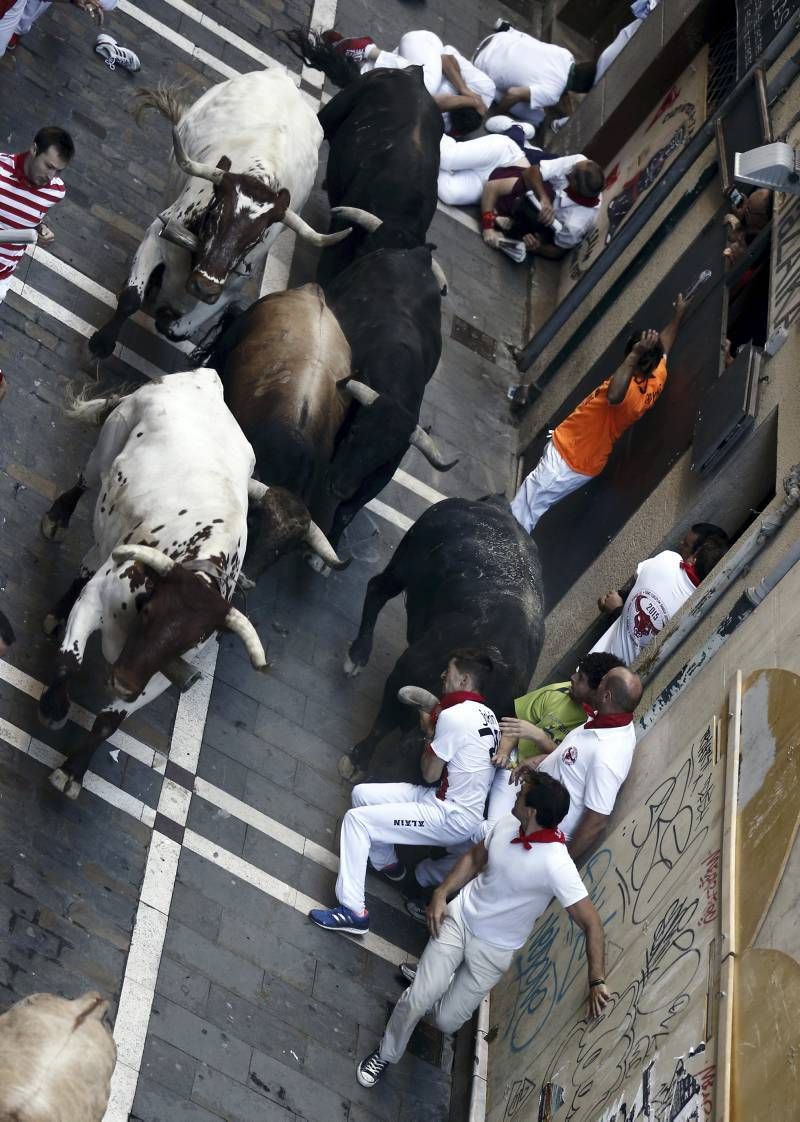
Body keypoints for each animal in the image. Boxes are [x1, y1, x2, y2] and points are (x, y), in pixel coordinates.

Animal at [38, 368, 338, 798]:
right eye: (150, 610)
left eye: (188, 640)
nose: (122, 683)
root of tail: (206, 379)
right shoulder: (96, 599)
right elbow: (70, 660)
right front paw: (54, 707)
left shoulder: (159, 677)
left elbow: (109, 722)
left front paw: (73, 771)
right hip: (107, 444)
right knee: (84, 480)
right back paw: (57, 519)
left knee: (91, 557)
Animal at [90, 67, 345, 356]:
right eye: (215, 215)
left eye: (257, 238)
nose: (204, 287)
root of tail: (283, 75)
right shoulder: (157, 234)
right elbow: (131, 298)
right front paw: (101, 343)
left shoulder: (232, 287)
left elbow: (179, 330)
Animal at [341, 498, 545, 780]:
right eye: (425, 750)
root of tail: (495, 506)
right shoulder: (403, 672)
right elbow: (383, 723)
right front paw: (356, 761)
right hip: (402, 565)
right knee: (377, 589)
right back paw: (357, 656)